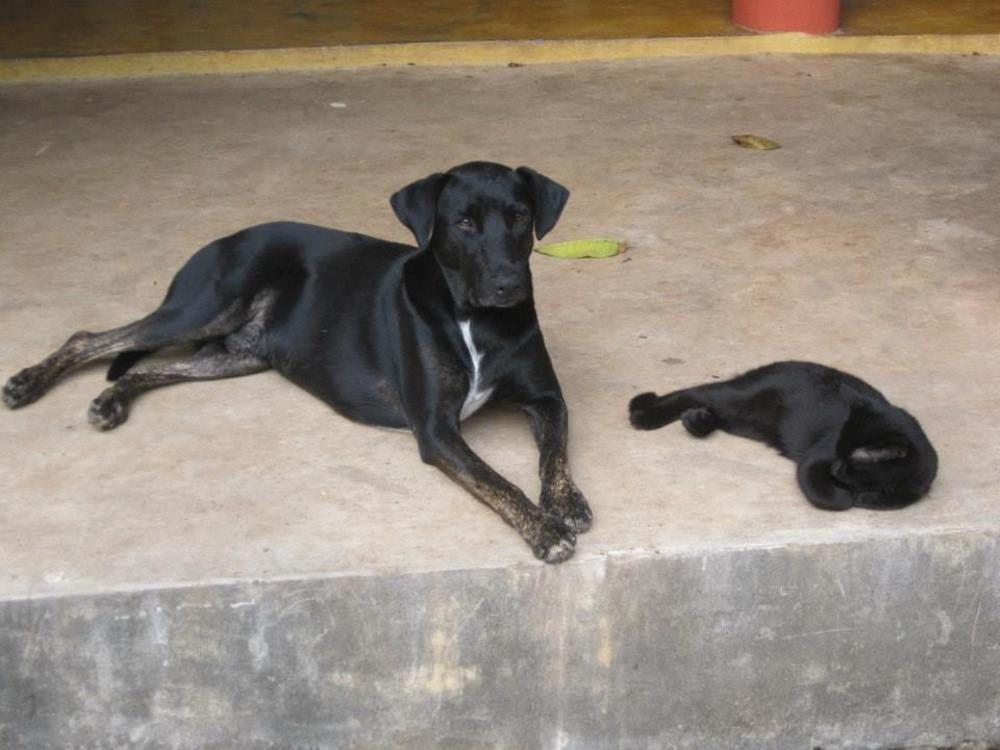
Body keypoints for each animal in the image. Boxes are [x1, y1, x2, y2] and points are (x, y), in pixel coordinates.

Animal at [3, 164, 588, 564]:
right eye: (464, 222)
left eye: (520, 217)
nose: (509, 285)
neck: (473, 317)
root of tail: (229, 236)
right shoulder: (435, 428)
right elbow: (496, 479)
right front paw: (543, 530)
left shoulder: (546, 399)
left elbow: (553, 454)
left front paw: (565, 502)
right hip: (202, 307)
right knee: (93, 337)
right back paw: (28, 383)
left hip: (237, 355)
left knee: (146, 369)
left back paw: (111, 399)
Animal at [628, 362, 940, 512]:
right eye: (838, 450)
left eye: (852, 461)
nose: (836, 467)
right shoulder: (814, 461)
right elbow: (832, 498)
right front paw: (850, 497)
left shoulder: (918, 485)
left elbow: (902, 498)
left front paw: (870, 497)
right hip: (739, 397)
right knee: (695, 391)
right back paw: (644, 415)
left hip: (743, 420)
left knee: (711, 409)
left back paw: (696, 420)